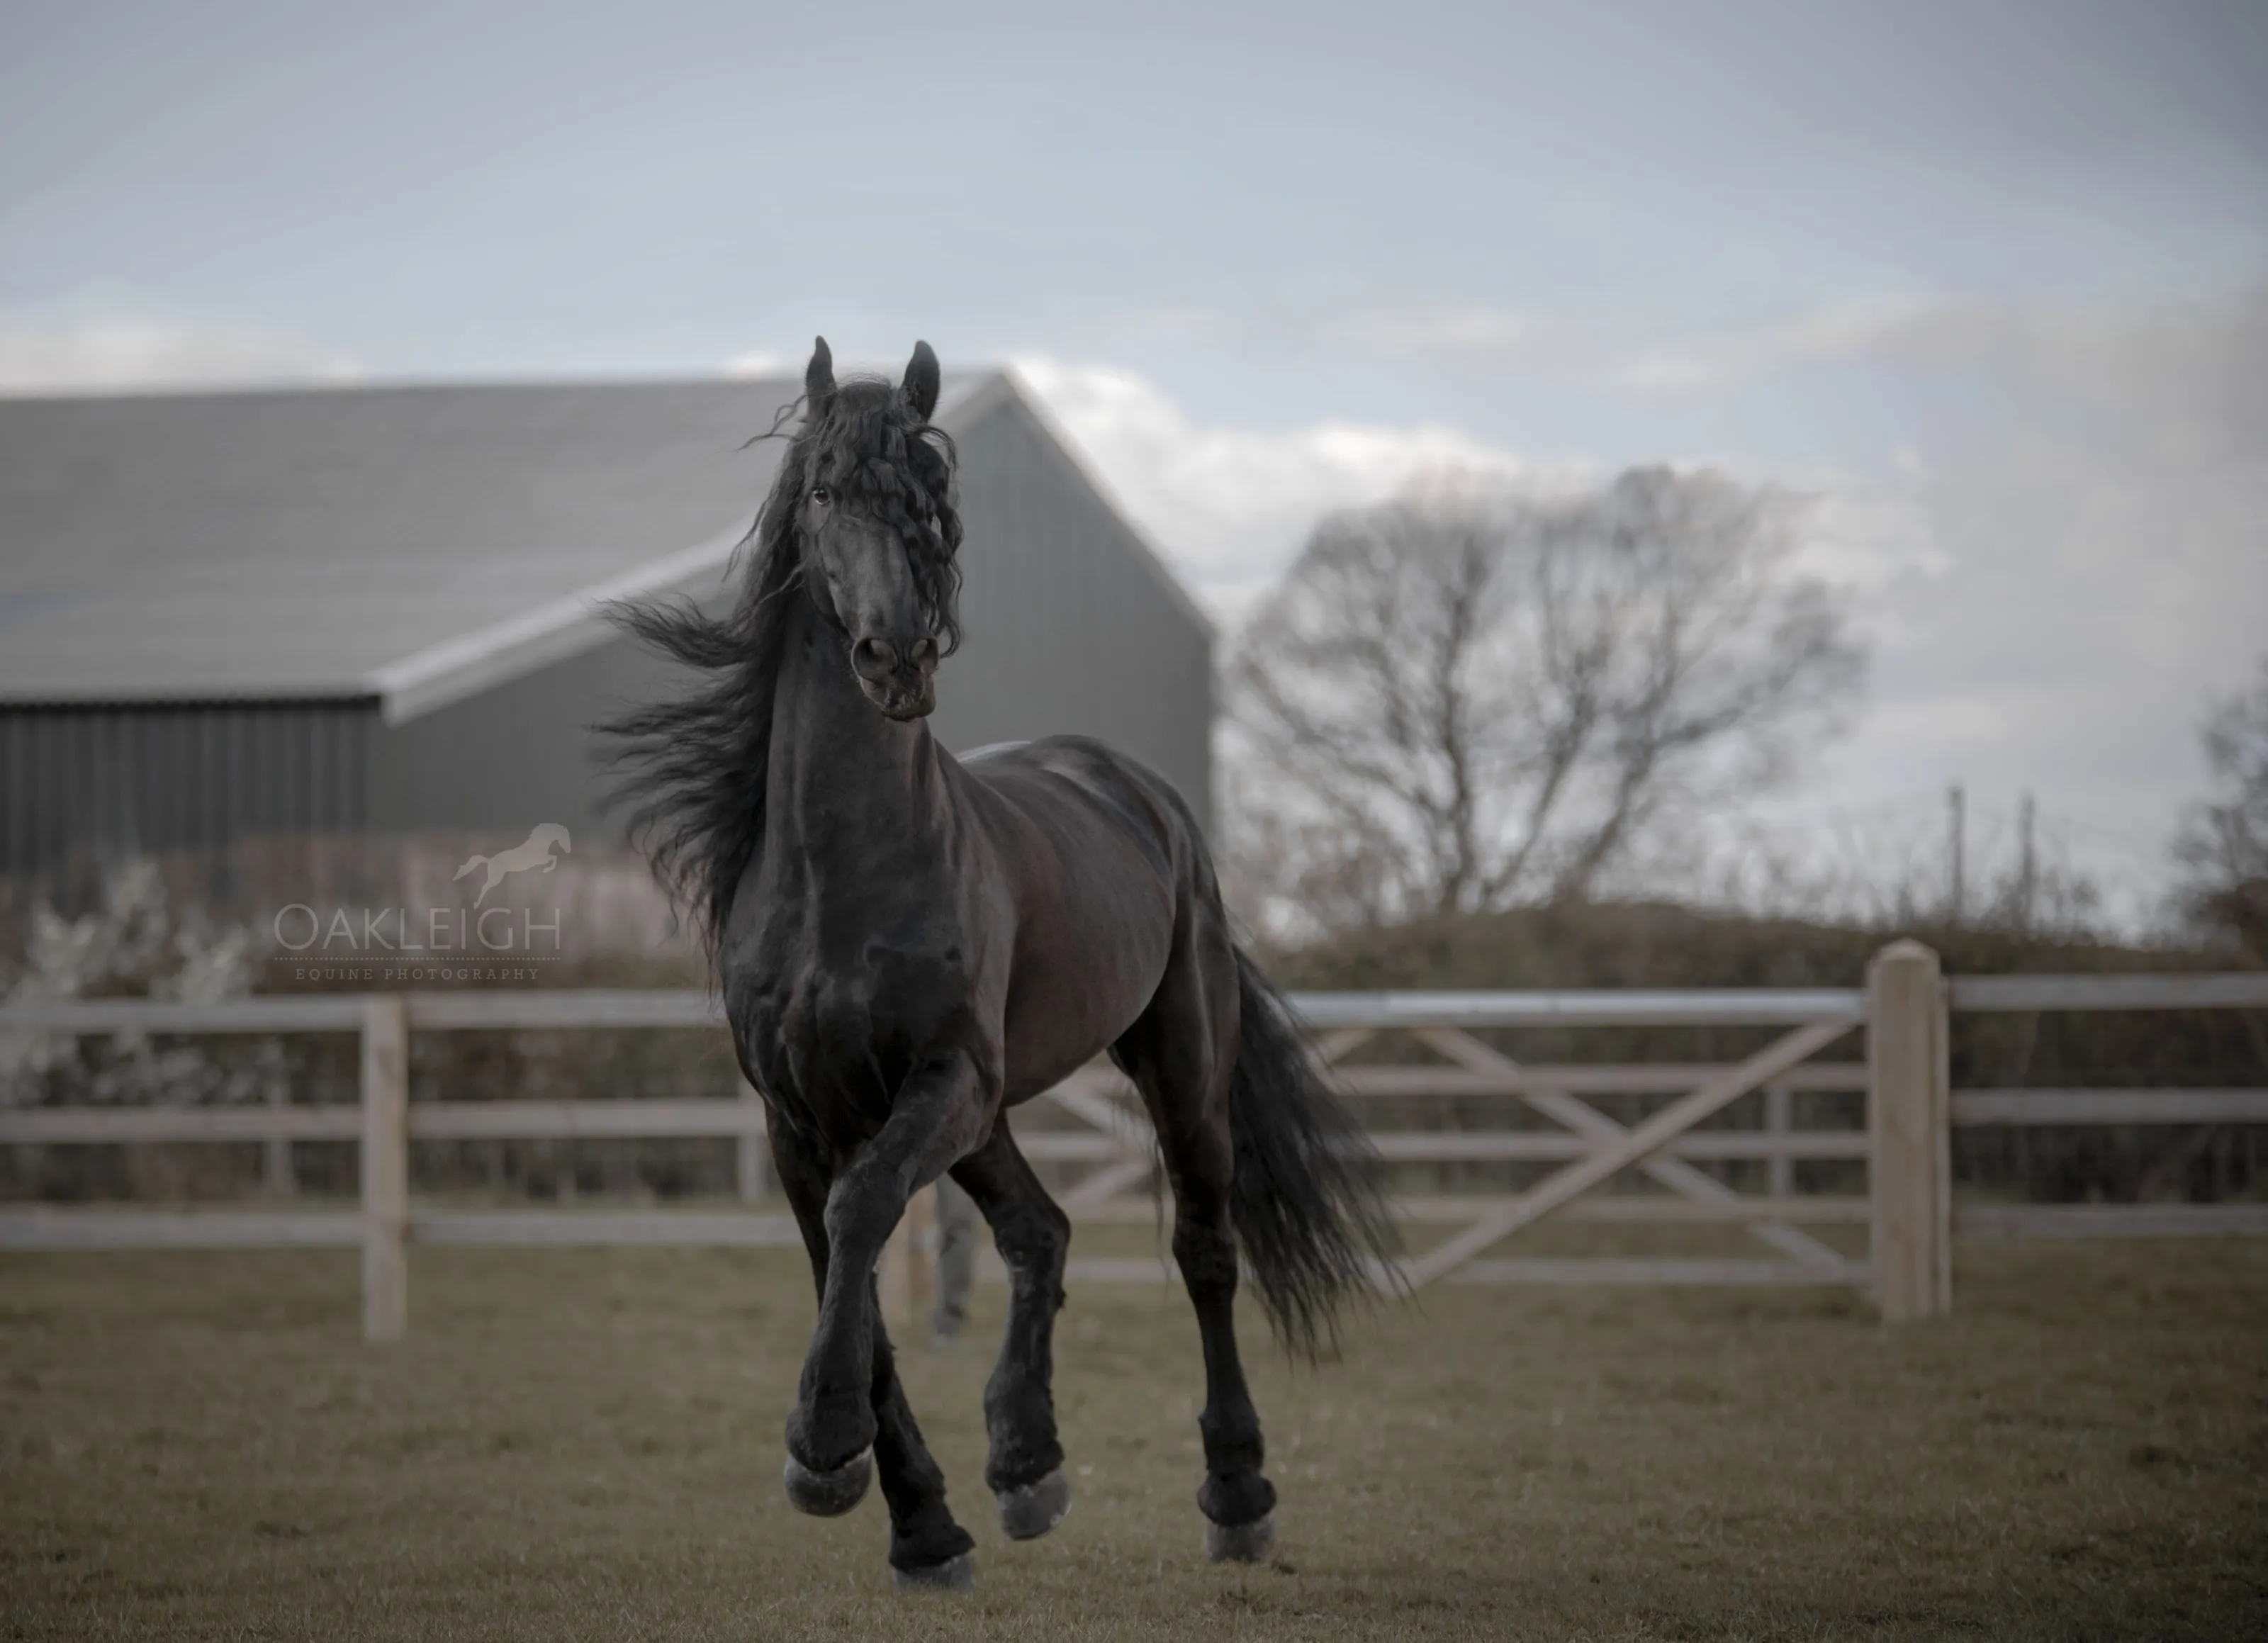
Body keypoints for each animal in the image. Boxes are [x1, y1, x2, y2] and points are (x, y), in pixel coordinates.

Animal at [603, 337, 1387, 1590]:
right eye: (823, 494)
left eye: (935, 497)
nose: (896, 658)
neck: (841, 870)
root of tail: (1136, 790)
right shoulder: (799, 1116)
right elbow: (844, 1265)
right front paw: (918, 1522)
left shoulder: (944, 1080)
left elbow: (866, 1215)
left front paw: (823, 1446)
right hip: (988, 1116)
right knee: (1040, 1231)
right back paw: (1027, 1464)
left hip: (1172, 1063)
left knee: (1203, 1249)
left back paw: (1236, 1494)